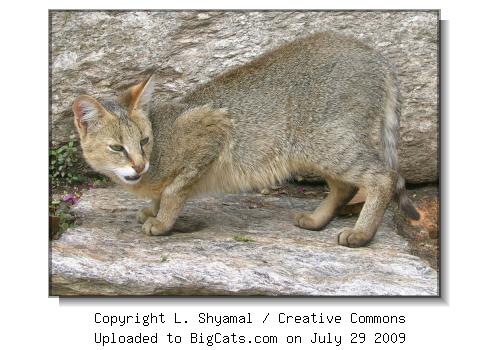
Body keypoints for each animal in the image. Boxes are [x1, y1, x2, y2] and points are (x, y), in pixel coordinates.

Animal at [72, 32, 420, 246]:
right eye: (117, 147)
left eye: (144, 141)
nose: (140, 165)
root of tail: (373, 53)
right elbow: (161, 194)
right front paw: (152, 209)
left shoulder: (211, 129)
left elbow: (173, 192)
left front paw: (161, 221)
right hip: (316, 148)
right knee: (345, 187)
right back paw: (317, 220)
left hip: (330, 144)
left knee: (383, 178)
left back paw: (361, 233)